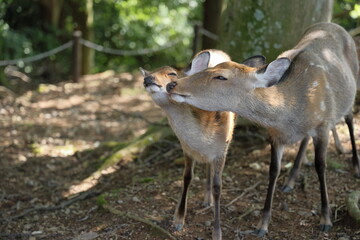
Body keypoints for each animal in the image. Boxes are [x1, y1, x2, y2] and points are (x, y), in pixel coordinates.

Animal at [140, 49, 236, 240]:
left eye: (172, 73)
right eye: (151, 71)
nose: (147, 79)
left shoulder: (222, 150)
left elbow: (218, 187)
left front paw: (217, 232)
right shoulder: (186, 148)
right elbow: (186, 178)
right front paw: (178, 219)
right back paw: (206, 199)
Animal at [167, 23, 360, 236]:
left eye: (221, 76)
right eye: (210, 67)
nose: (172, 84)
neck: (291, 115)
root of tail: (333, 25)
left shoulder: (323, 125)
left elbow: (320, 166)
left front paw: (326, 219)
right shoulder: (275, 135)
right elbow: (273, 170)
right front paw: (262, 224)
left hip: (352, 86)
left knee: (349, 119)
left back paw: (355, 166)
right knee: (304, 140)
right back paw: (290, 180)